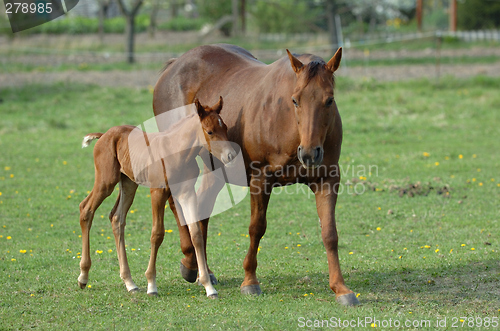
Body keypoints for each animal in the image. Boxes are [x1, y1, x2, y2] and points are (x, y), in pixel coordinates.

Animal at [77, 97, 235, 300]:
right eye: (210, 131)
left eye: (226, 128)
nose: (231, 155)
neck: (177, 152)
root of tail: (104, 134)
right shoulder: (158, 192)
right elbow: (157, 234)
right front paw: (152, 285)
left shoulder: (186, 191)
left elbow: (196, 234)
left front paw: (209, 287)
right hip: (106, 181)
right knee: (86, 209)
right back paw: (83, 276)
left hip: (128, 183)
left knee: (117, 218)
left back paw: (130, 283)